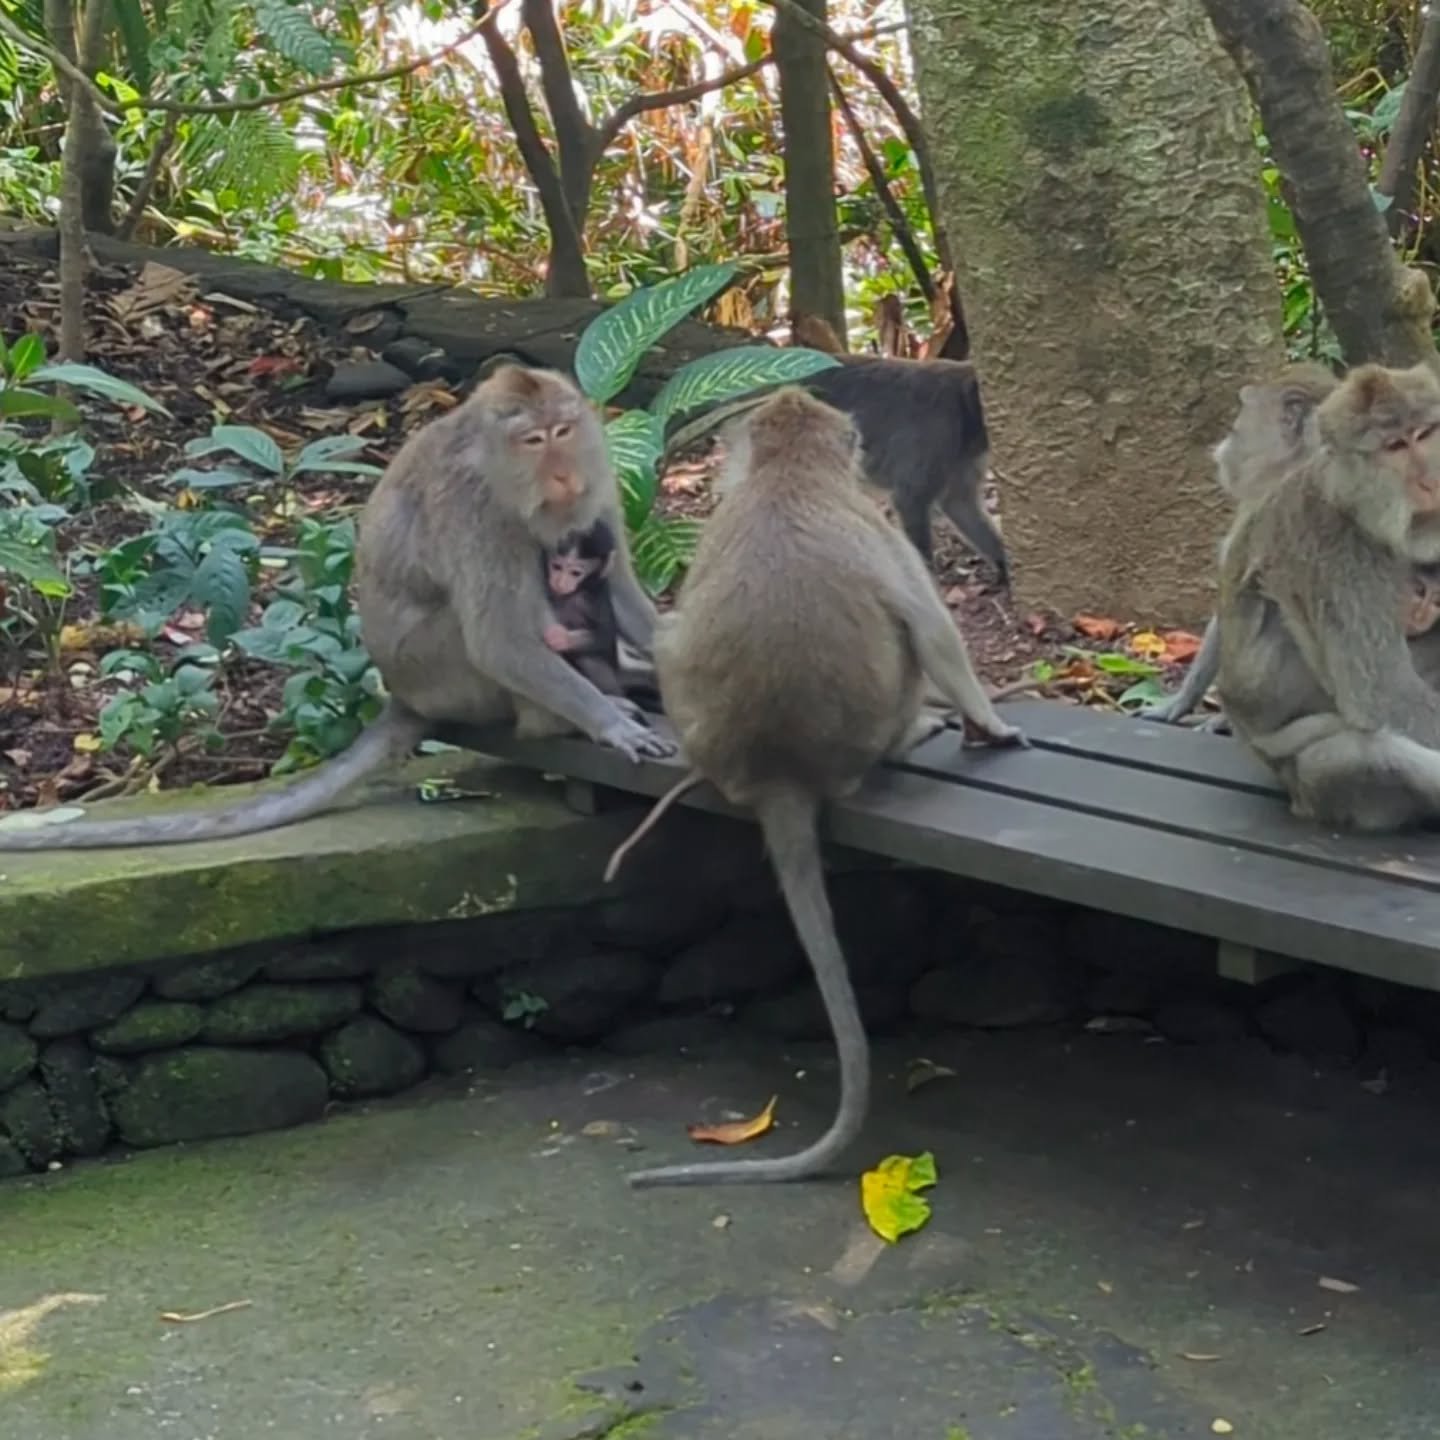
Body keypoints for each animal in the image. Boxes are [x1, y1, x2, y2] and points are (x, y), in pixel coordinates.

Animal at [542, 517, 625, 698]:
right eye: (557, 566)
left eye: (575, 573)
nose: (560, 583)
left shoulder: (592, 599)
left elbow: (604, 635)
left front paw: (562, 637)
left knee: (591, 661)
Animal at [618, 387, 1025, 1189]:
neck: (789, 474)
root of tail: (779, 769)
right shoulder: (882, 526)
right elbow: (935, 633)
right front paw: (992, 724)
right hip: (873, 725)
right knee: (912, 644)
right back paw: (919, 729)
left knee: (670, 635)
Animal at [662, 356, 1009, 585]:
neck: (964, 406)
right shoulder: (940, 431)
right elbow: (911, 499)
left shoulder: (963, 451)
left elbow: (958, 503)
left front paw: (1006, 564)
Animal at [1216, 362, 1440, 832]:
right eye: (1395, 445)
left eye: (1425, 433)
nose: (1431, 481)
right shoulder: (1337, 545)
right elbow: (1386, 696)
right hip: (1314, 784)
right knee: (1366, 756)